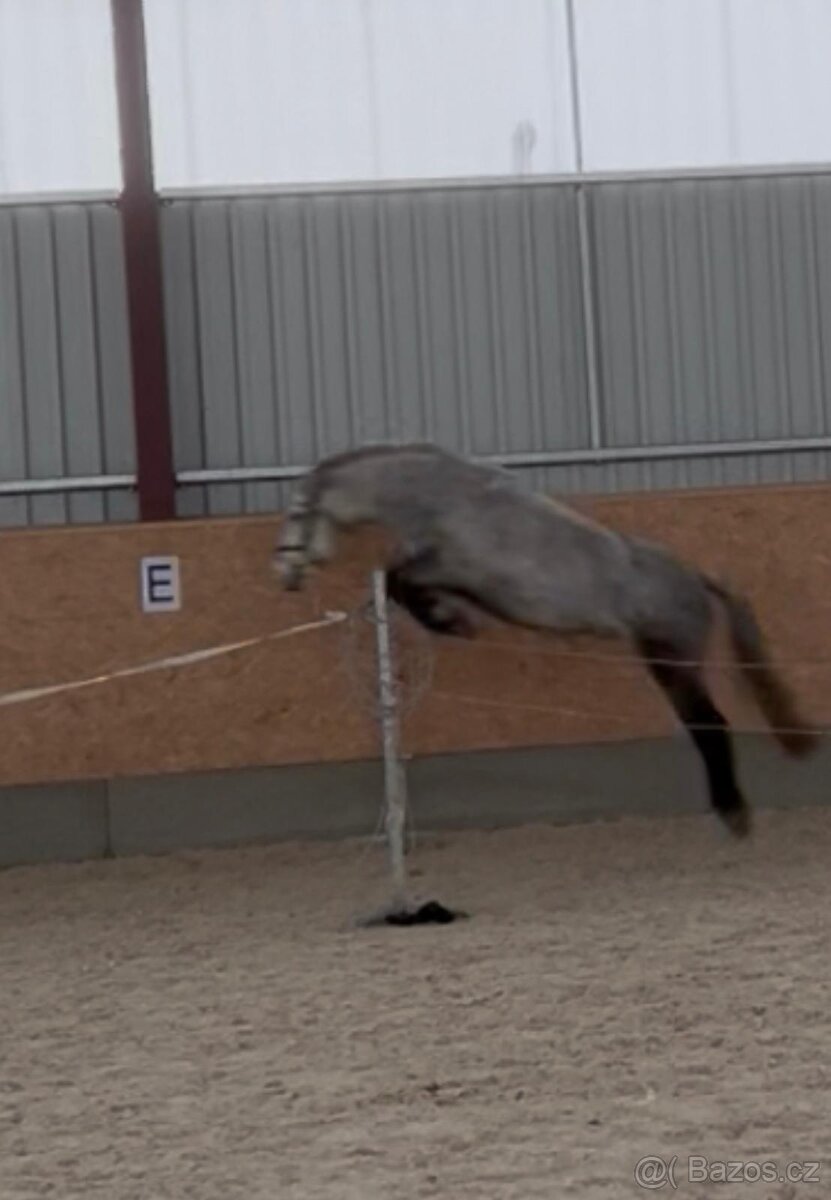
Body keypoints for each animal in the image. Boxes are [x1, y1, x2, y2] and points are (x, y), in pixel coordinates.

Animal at [273, 441, 819, 837]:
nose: (283, 575)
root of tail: (696, 580)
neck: (446, 498)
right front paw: (451, 616)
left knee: (711, 725)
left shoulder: (449, 566)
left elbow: (398, 580)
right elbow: (402, 582)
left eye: (296, 515)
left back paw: (733, 813)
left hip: (672, 663)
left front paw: (450, 622)